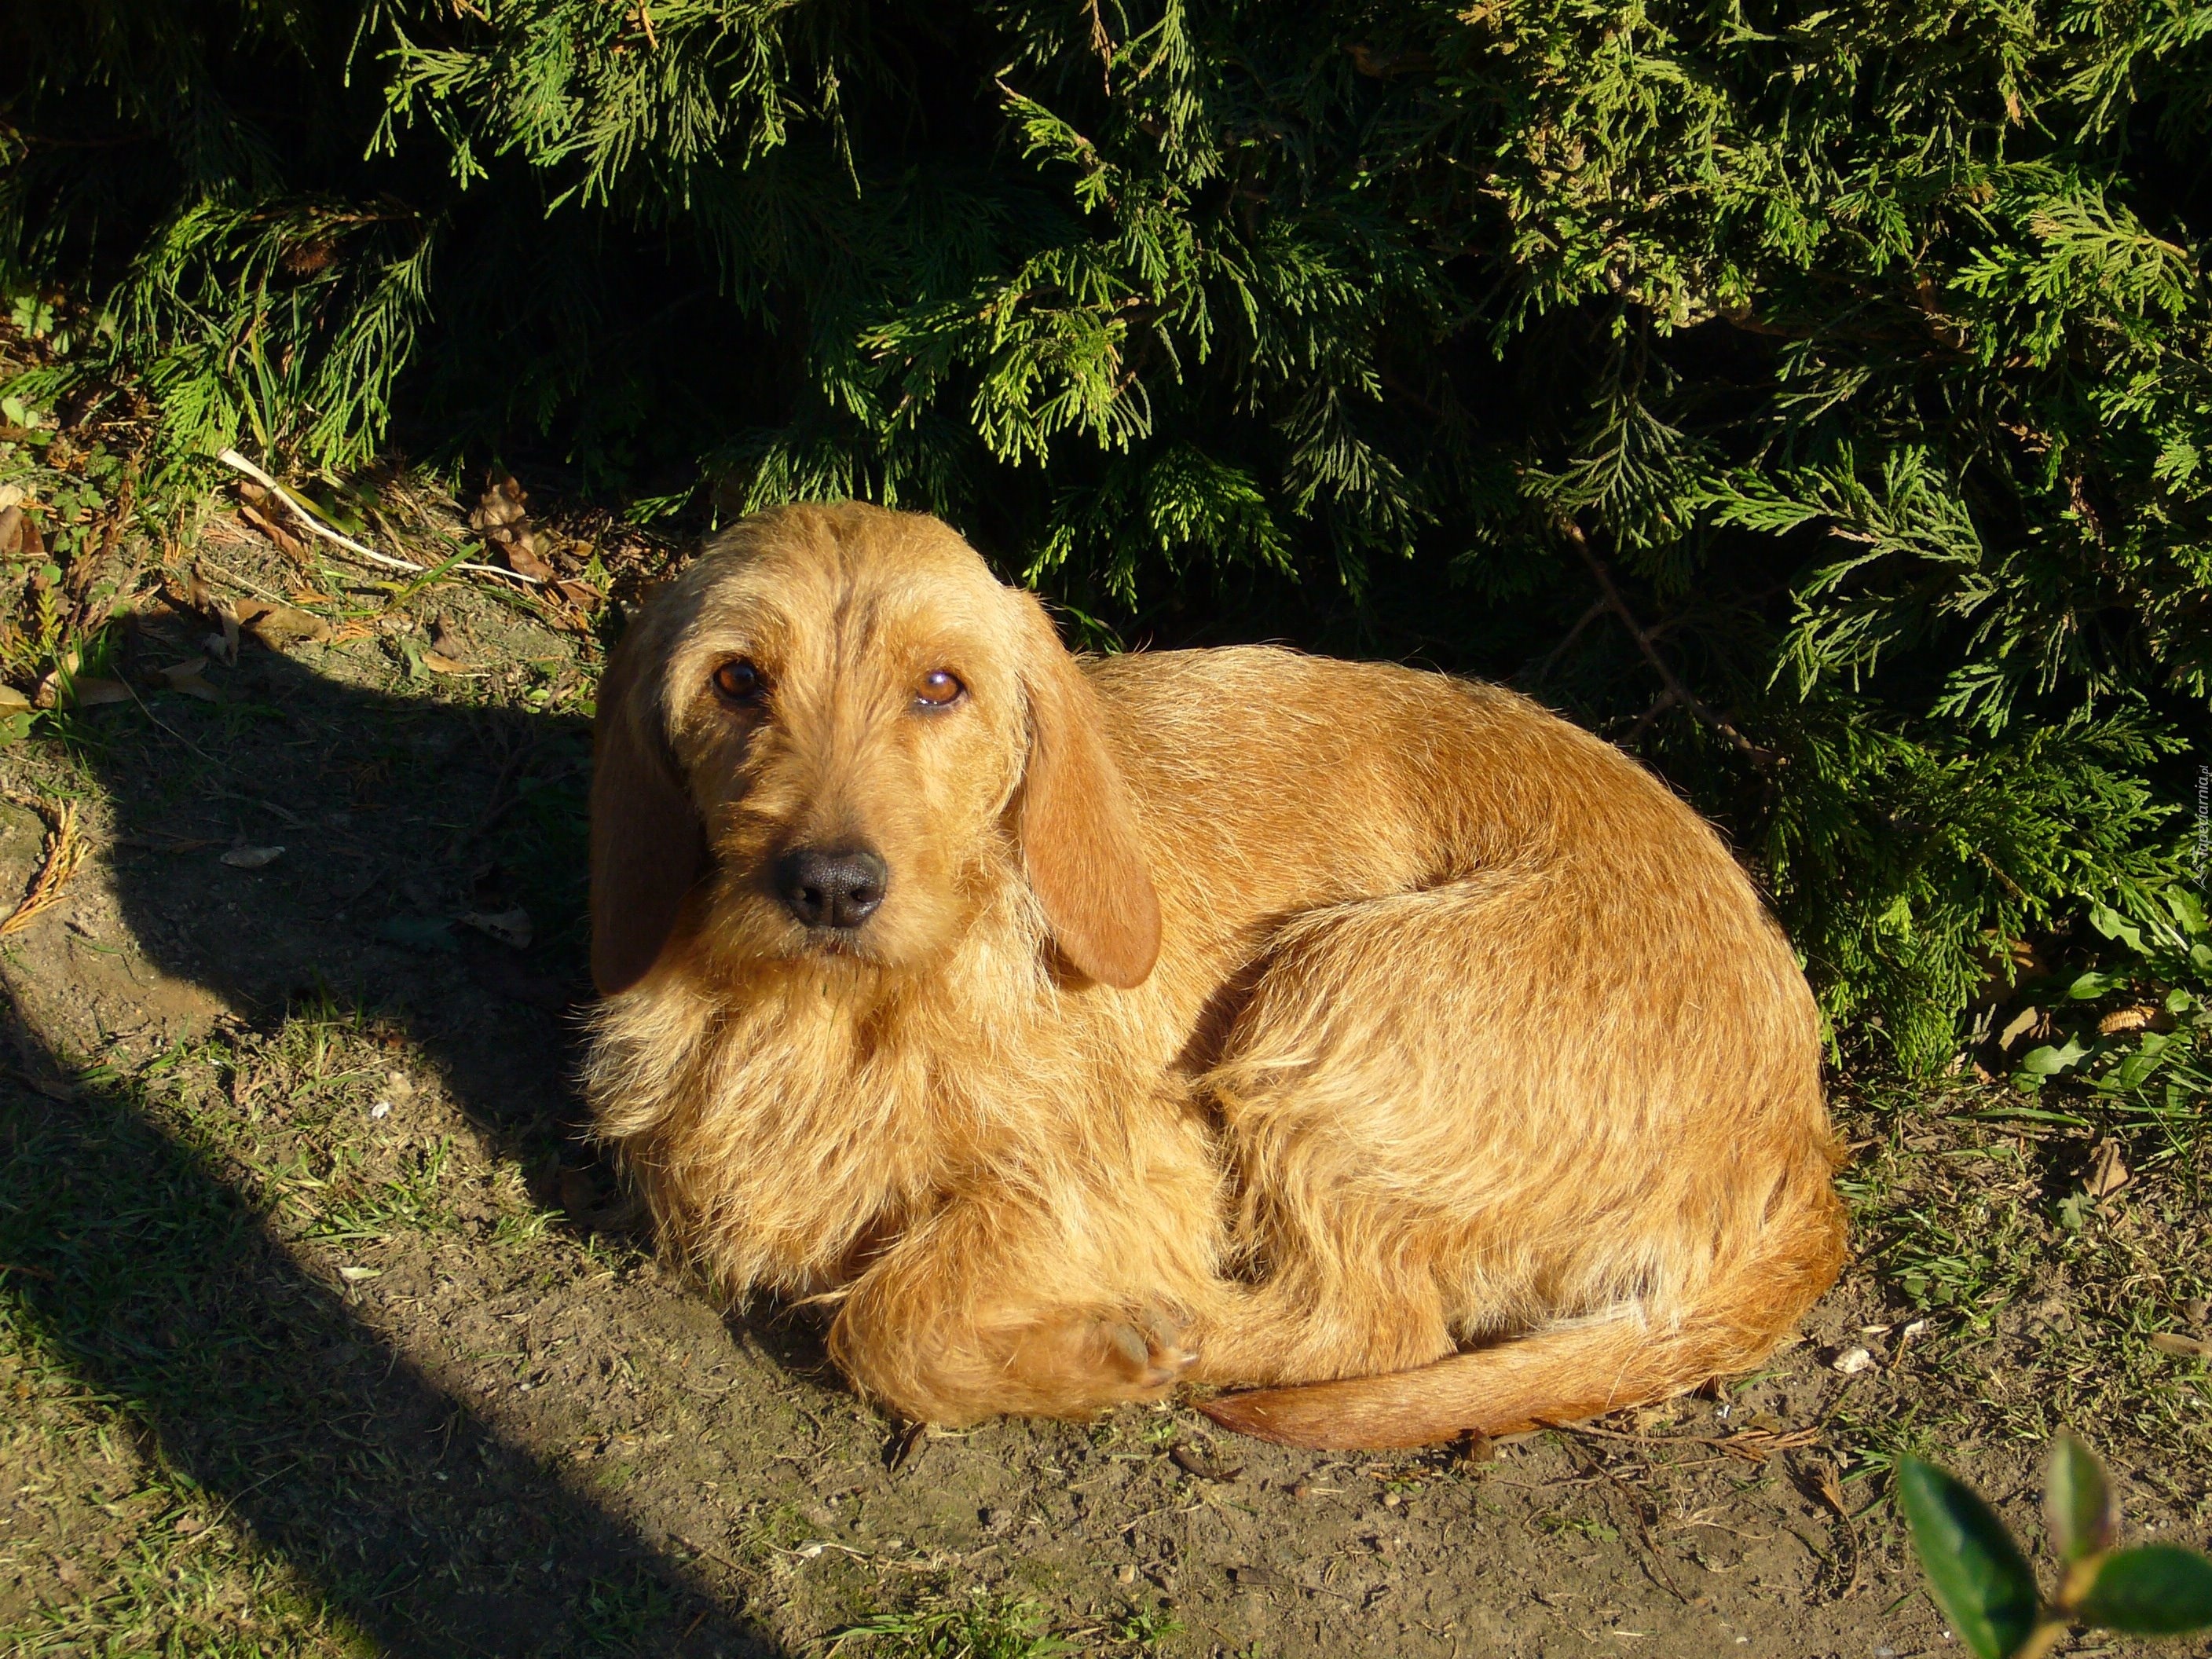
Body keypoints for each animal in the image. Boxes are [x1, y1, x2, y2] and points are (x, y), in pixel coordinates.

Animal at [579, 500, 1840, 1451]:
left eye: (940, 686)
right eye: (736, 680)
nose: (832, 886)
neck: (852, 1015)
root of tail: (1802, 1143)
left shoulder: (1130, 1177)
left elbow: (885, 1322)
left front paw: (1101, 1347)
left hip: (1330, 992)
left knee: (1378, 1327)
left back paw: (1182, 1337)